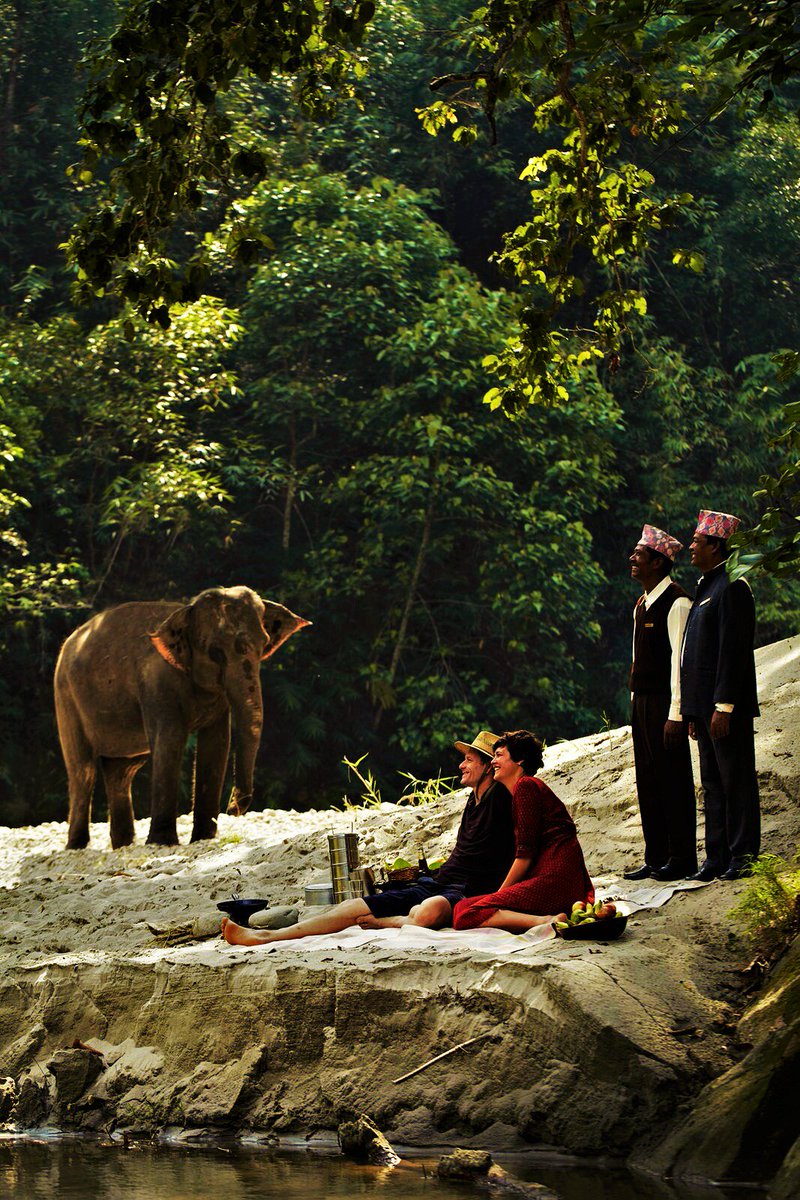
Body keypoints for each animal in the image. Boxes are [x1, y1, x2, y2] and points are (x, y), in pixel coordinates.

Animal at [54, 586, 310, 848]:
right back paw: (77, 846)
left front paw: (202, 838)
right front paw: (162, 843)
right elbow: (170, 740)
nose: (232, 808)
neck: (186, 610)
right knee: (83, 770)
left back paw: (122, 845)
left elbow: (216, 744)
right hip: (65, 696)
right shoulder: (157, 683)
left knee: (121, 770)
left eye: (265, 644)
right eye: (215, 653)